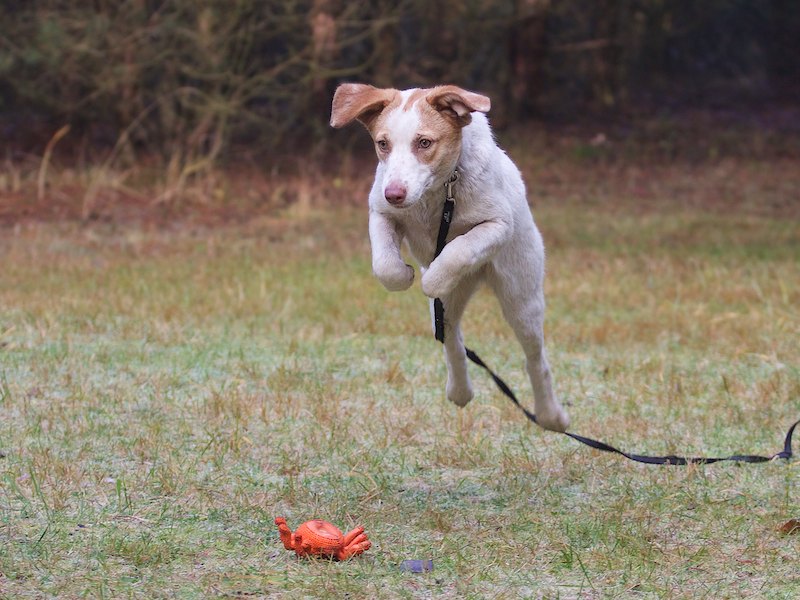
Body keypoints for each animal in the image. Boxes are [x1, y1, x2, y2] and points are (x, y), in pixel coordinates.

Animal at [330, 84, 569, 432]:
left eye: (424, 143)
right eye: (383, 144)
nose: (395, 193)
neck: (440, 191)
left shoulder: (497, 225)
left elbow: (459, 249)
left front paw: (434, 277)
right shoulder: (381, 212)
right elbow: (385, 265)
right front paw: (404, 275)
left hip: (521, 299)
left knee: (535, 359)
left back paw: (551, 415)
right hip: (447, 311)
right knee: (453, 338)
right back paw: (460, 390)